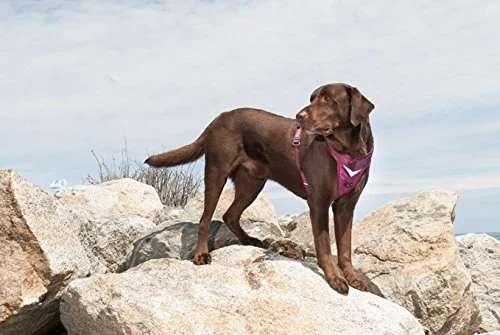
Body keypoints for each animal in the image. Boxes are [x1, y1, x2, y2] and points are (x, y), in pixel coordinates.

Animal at [145, 83, 372, 294]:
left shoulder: (345, 207)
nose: (299, 116)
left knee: (230, 215)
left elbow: (345, 249)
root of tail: (217, 119)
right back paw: (201, 254)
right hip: (216, 173)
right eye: (312, 98)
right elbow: (324, 246)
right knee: (205, 219)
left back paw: (249, 240)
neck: (348, 151)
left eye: (327, 98)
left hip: (251, 184)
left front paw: (353, 278)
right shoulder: (318, 202)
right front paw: (334, 279)